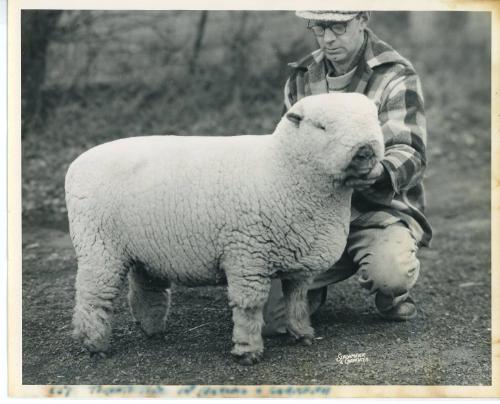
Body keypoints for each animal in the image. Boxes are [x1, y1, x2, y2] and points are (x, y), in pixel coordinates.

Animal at [65, 93, 382, 364]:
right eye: (321, 126)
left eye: (375, 120)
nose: (365, 151)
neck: (281, 169)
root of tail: (77, 164)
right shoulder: (247, 256)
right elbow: (250, 307)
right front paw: (248, 351)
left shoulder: (300, 262)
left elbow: (296, 300)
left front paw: (301, 333)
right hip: (99, 247)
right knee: (93, 296)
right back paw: (94, 344)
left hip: (145, 249)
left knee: (146, 290)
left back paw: (153, 330)